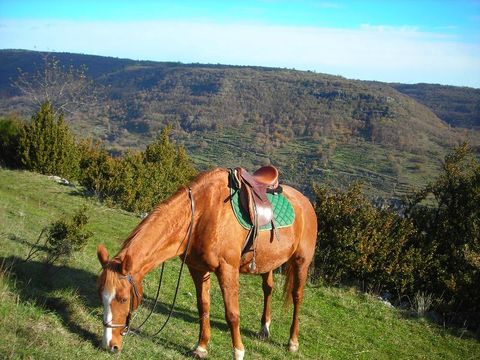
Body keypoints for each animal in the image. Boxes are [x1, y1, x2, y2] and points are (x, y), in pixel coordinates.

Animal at [95, 167, 316, 358]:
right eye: (101, 295)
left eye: (123, 298)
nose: (109, 345)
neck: (201, 214)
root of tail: (305, 202)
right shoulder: (198, 269)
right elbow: (204, 307)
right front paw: (201, 347)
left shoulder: (227, 269)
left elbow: (232, 313)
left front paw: (238, 352)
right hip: (267, 262)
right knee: (268, 288)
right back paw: (264, 329)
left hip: (301, 262)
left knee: (297, 297)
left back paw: (292, 342)